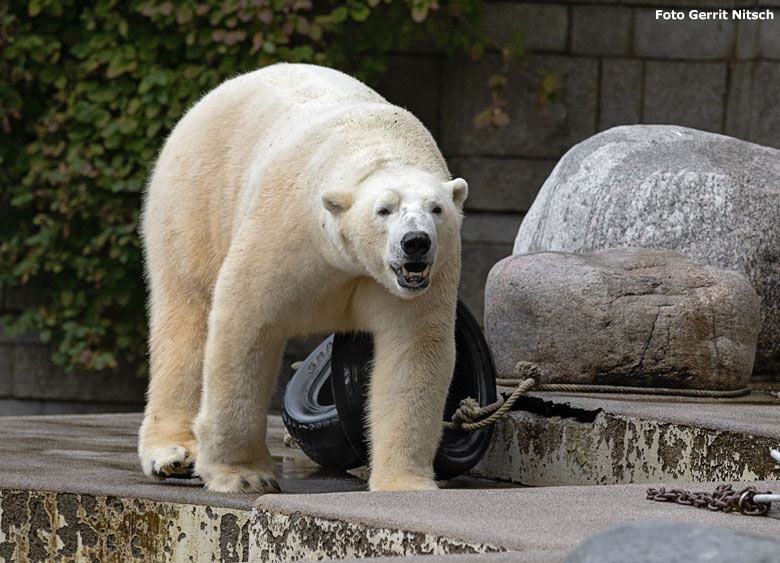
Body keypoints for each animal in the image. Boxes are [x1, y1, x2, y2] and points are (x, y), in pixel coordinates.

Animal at [137, 62, 466, 494]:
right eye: (384, 209)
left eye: (436, 208)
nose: (415, 242)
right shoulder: (286, 234)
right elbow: (245, 326)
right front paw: (244, 476)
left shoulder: (419, 279)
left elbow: (412, 352)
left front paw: (406, 484)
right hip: (193, 200)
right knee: (186, 317)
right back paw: (172, 454)